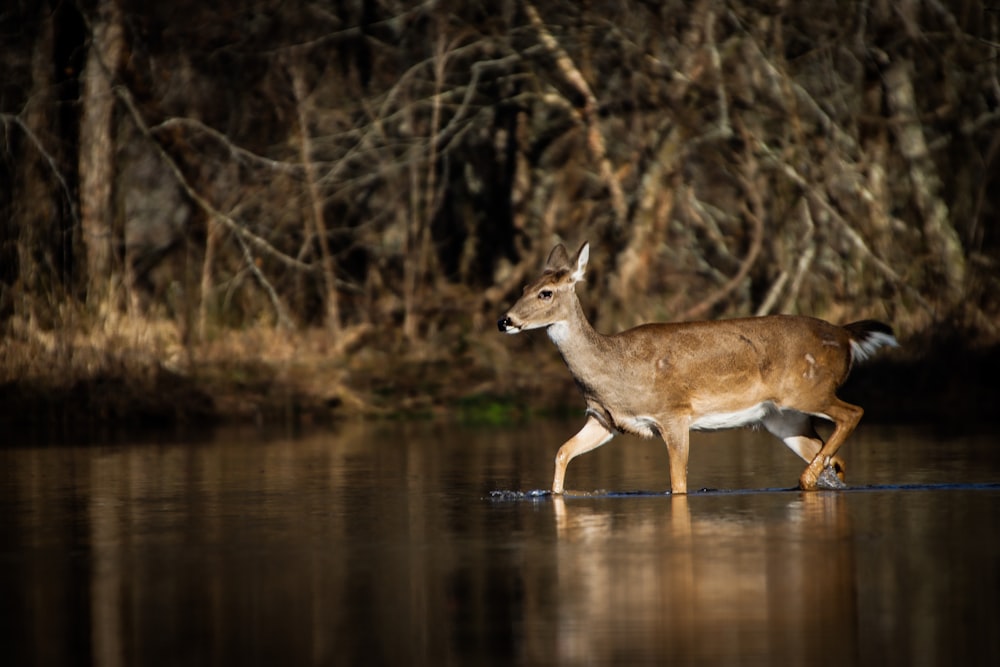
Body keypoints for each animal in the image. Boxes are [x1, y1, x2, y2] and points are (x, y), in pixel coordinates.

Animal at [500, 243, 900, 494]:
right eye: (524, 286)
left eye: (546, 293)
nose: (505, 320)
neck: (616, 368)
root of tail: (846, 336)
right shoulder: (605, 419)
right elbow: (562, 451)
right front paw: (554, 496)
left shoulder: (673, 413)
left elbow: (677, 484)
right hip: (784, 418)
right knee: (835, 456)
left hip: (807, 389)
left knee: (853, 412)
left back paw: (805, 479)